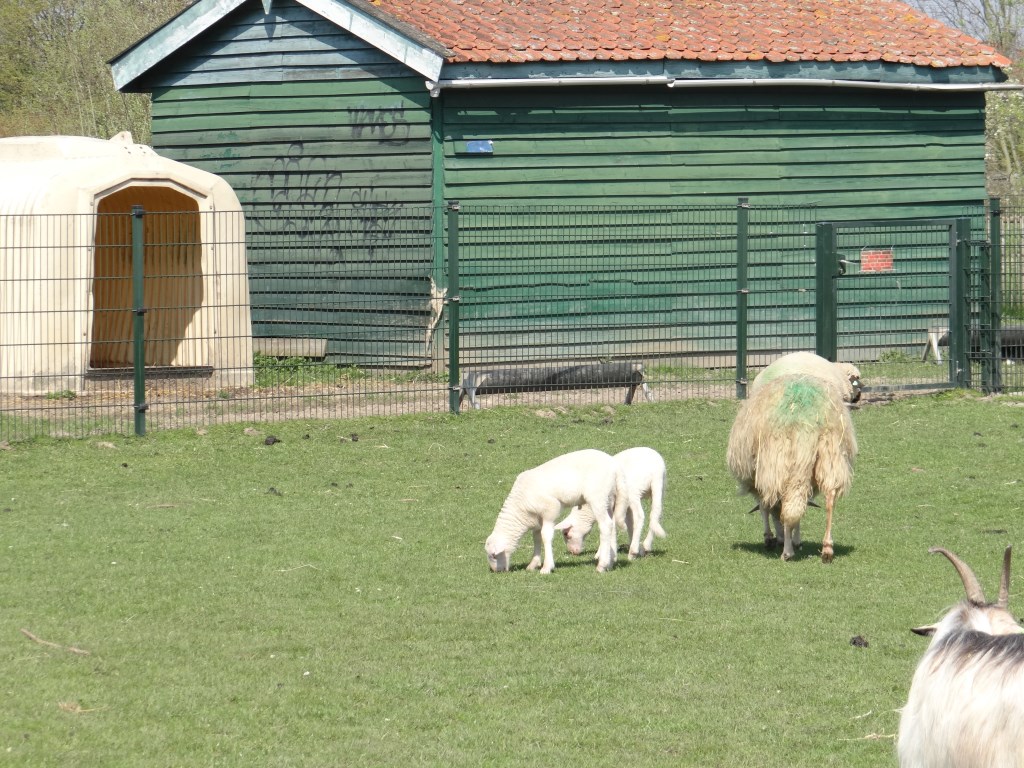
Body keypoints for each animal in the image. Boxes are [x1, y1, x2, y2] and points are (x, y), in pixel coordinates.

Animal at [485, 448, 618, 573]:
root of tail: (611, 462)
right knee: (612, 524)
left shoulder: (550, 509)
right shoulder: (537, 517)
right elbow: (536, 536)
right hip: (609, 498)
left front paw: (547, 567)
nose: (495, 571)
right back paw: (610, 562)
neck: (520, 508)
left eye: (493, 555)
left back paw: (602, 565)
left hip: (597, 497)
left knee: (605, 525)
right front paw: (533, 564)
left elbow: (545, 535)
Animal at [724, 370, 860, 561]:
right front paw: (796, 540)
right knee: (829, 498)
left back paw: (787, 552)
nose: (779, 539)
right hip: (831, 454)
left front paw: (770, 538)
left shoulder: (761, 480)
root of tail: (808, 419)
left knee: (790, 507)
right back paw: (826, 549)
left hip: (784, 462)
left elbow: (765, 508)